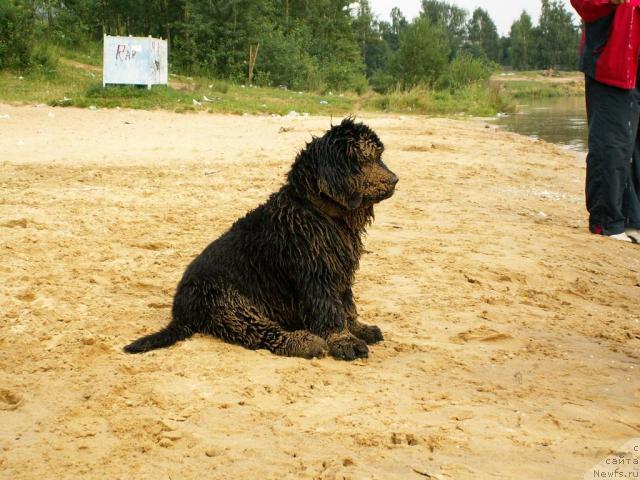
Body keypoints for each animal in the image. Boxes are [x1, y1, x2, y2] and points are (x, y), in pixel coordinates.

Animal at [122, 118, 398, 360]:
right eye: (366, 158)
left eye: (379, 155)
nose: (395, 180)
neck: (315, 211)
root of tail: (180, 314)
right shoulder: (317, 275)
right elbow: (329, 311)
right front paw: (345, 341)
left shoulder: (339, 270)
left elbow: (347, 304)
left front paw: (359, 329)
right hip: (226, 301)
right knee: (258, 332)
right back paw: (304, 342)